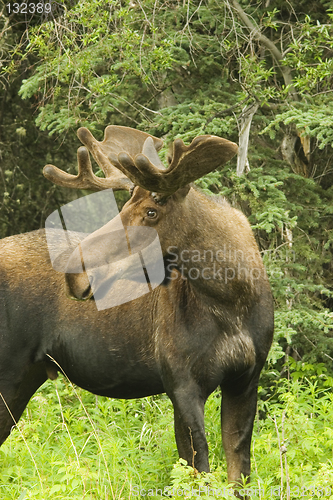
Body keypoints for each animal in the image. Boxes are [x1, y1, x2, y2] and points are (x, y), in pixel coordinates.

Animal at [0, 125, 272, 488]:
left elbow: (237, 472)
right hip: (9, 372)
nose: (73, 273)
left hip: (24, 377)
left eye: (151, 212)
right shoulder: (181, 383)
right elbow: (198, 469)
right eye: (125, 205)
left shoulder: (246, 379)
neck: (231, 300)